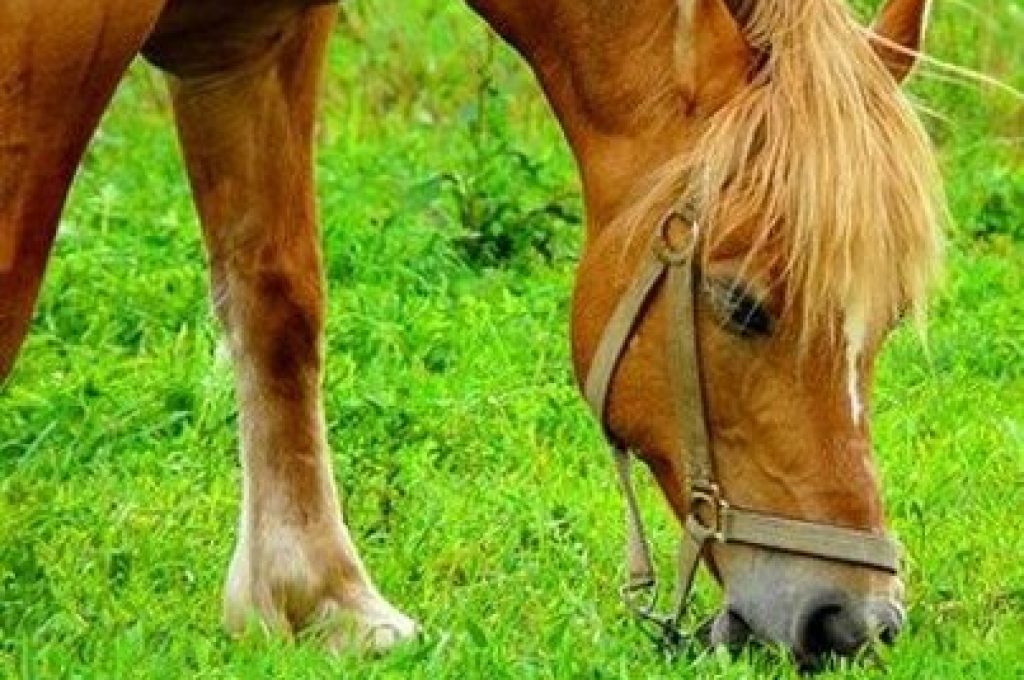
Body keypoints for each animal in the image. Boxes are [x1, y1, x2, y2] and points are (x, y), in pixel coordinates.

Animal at [0, 0, 943, 665]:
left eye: (888, 322)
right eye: (744, 305)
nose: (854, 621)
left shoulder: (253, 41)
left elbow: (278, 305)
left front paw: (320, 599)